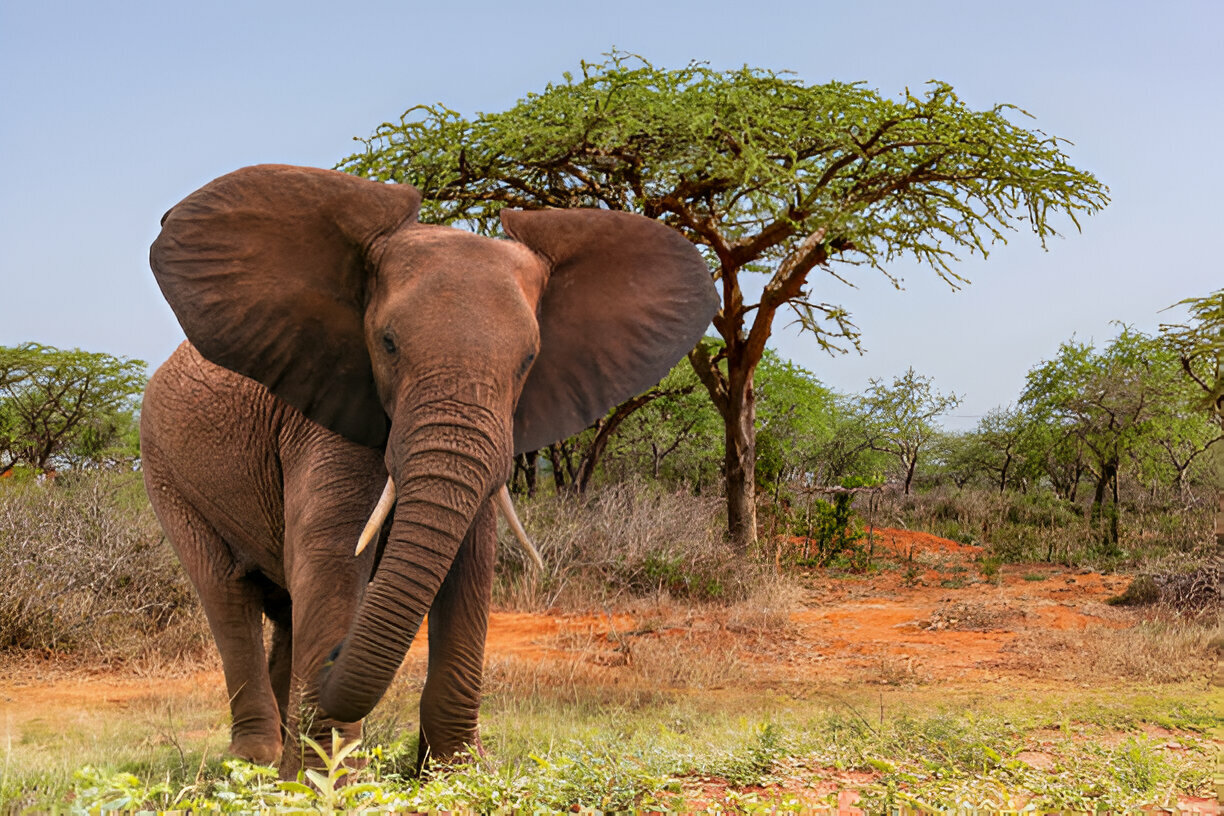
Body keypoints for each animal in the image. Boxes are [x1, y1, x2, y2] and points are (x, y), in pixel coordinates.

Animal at [140, 164, 717, 776]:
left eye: (528, 360)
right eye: (388, 343)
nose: (336, 658)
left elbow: (470, 565)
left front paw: (459, 770)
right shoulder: (328, 409)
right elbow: (332, 555)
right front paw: (325, 783)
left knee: (286, 611)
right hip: (165, 471)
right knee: (228, 594)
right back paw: (255, 761)